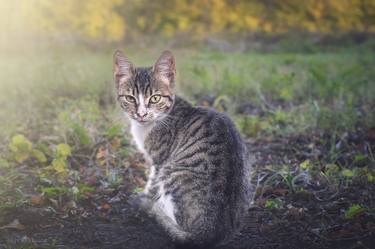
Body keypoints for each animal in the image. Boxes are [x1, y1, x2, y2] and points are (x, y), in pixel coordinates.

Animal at [112, 50, 253, 247]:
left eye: (155, 98)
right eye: (130, 98)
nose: (141, 114)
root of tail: (210, 233)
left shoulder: (159, 161)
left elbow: (151, 184)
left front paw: (145, 198)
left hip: (171, 173)